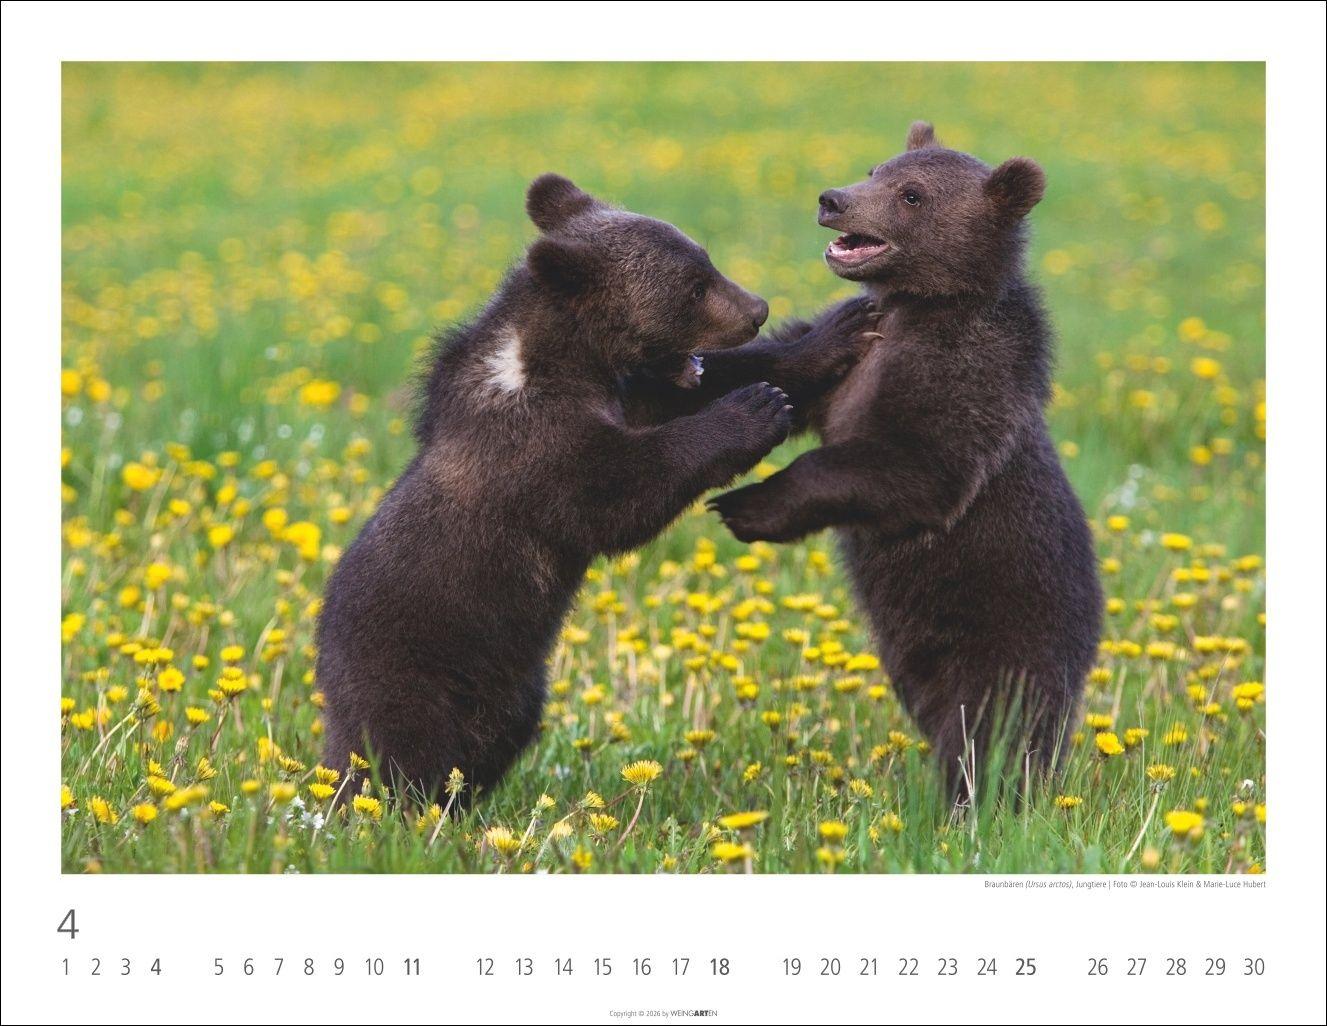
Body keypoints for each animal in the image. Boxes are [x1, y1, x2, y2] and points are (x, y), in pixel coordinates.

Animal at [318, 174, 808, 805]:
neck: (559, 362)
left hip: (515, 688)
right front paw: (755, 409)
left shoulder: (617, 397)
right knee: (400, 753)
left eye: (707, 260)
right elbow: (620, 491)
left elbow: (670, 402)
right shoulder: (535, 449)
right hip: (410, 670)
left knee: (496, 737)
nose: (757, 310)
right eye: (694, 286)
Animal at [709, 123, 1103, 799]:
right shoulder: (853, 357)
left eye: (912, 194)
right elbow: (782, 365)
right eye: (876, 169)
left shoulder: (962, 373)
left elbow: (918, 466)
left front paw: (747, 505)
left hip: (1010, 629)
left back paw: (980, 800)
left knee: (992, 729)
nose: (833, 199)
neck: (919, 306)